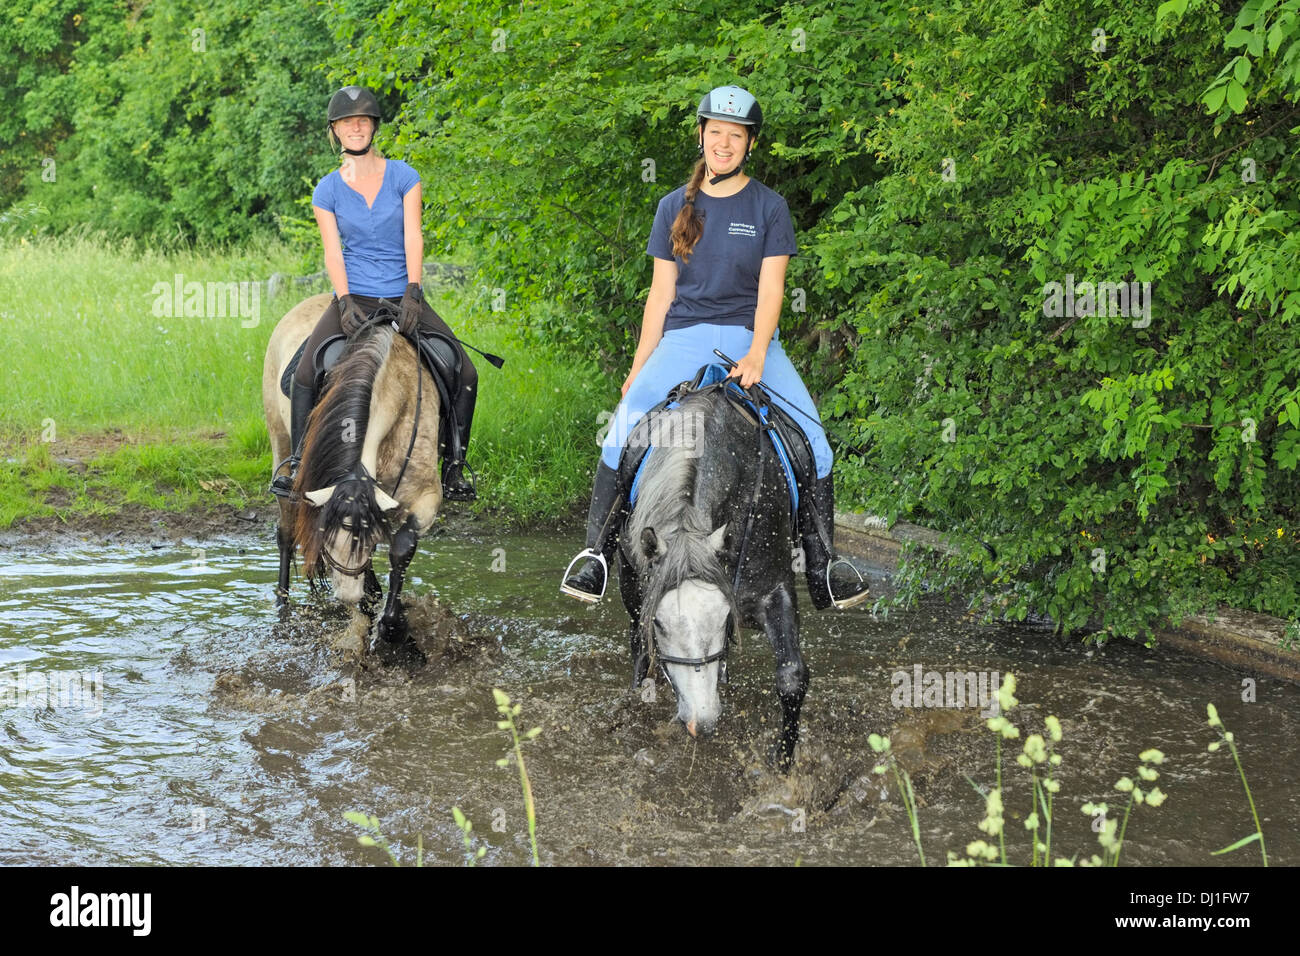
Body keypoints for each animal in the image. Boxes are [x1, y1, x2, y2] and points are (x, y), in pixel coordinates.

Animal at [613, 382, 806, 770]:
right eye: (660, 624)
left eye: (723, 617)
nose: (700, 723)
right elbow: (643, 651)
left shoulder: (776, 589)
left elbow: (792, 675)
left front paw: (782, 763)